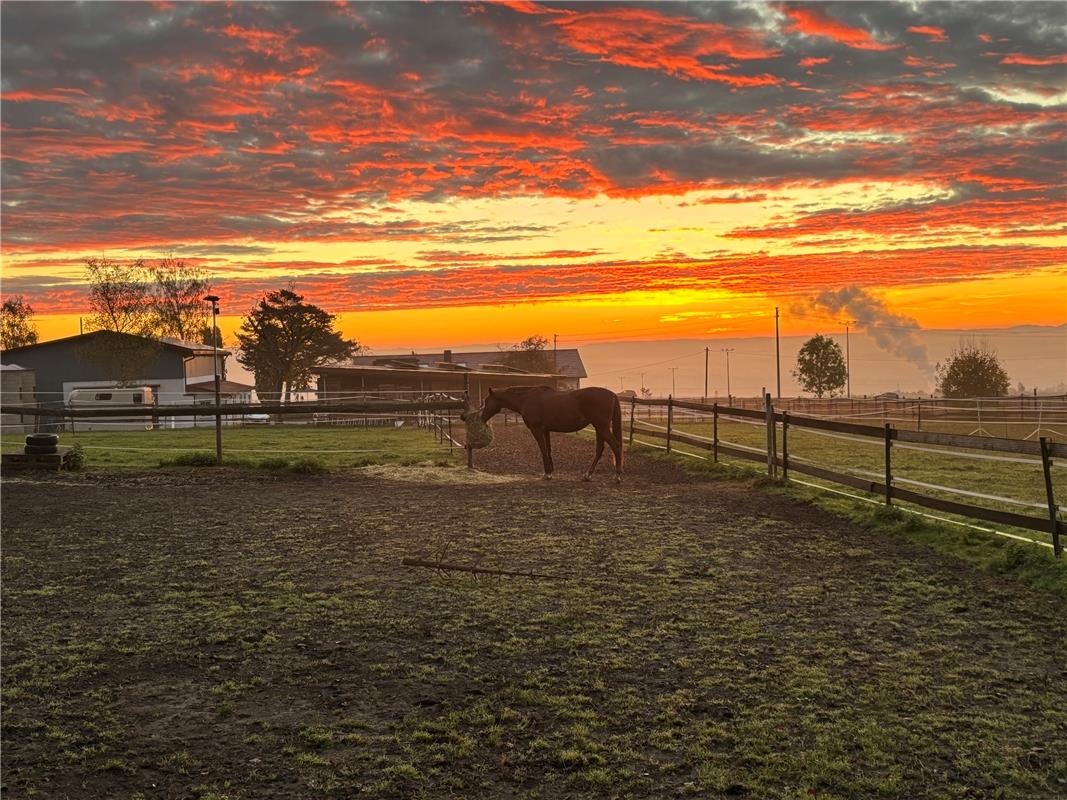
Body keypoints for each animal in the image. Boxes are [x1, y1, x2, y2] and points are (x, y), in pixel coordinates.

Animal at [478, 386, 623, 482]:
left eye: (486, 401)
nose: (482, 418)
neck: (527, 399)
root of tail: (612, 395)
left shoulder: (536, 429)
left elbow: (542, 449)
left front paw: (547, 474)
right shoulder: (545, 430)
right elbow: (548, 450)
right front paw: (551, 471)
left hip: (602, 428)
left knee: (616, 446)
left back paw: (617, 476)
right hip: (600, 429)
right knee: (600, 449)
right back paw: (588, 475)